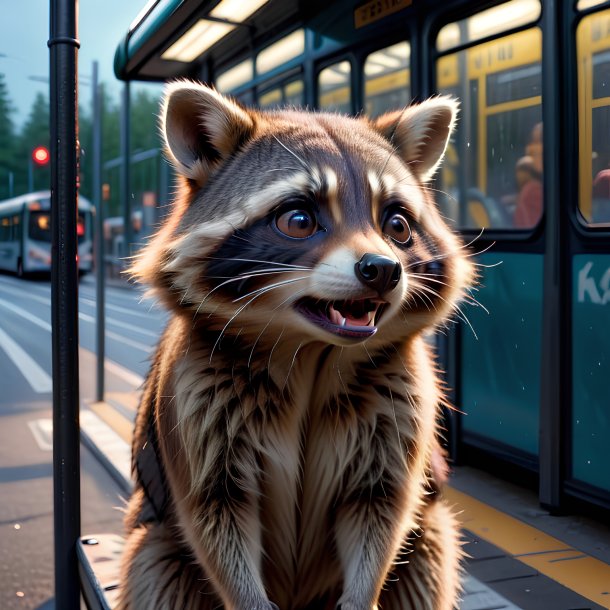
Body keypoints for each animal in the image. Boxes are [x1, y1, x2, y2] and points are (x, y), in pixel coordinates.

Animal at [117, 82, 470, 608]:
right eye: (299, 219)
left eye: (398, 226)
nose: (383, 270)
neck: (313, 352)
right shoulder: (196, 404)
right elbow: (215, 519)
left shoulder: (397, 406)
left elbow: (381, 513)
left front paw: (362, 594)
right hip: (158, 543)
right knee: (153, 569)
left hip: (426, 529)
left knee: (428, 552)